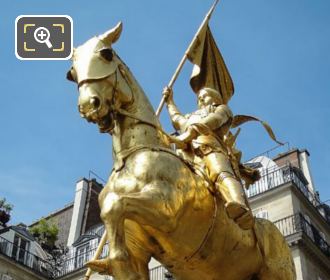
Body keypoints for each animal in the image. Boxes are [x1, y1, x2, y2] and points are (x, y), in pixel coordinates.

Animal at [67, 22, 296, 280]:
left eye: (106, 54)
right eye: (72, 73)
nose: (89, 106)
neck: (132, 158)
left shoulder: (167, 209)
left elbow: (113, 205)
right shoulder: (138, 253)